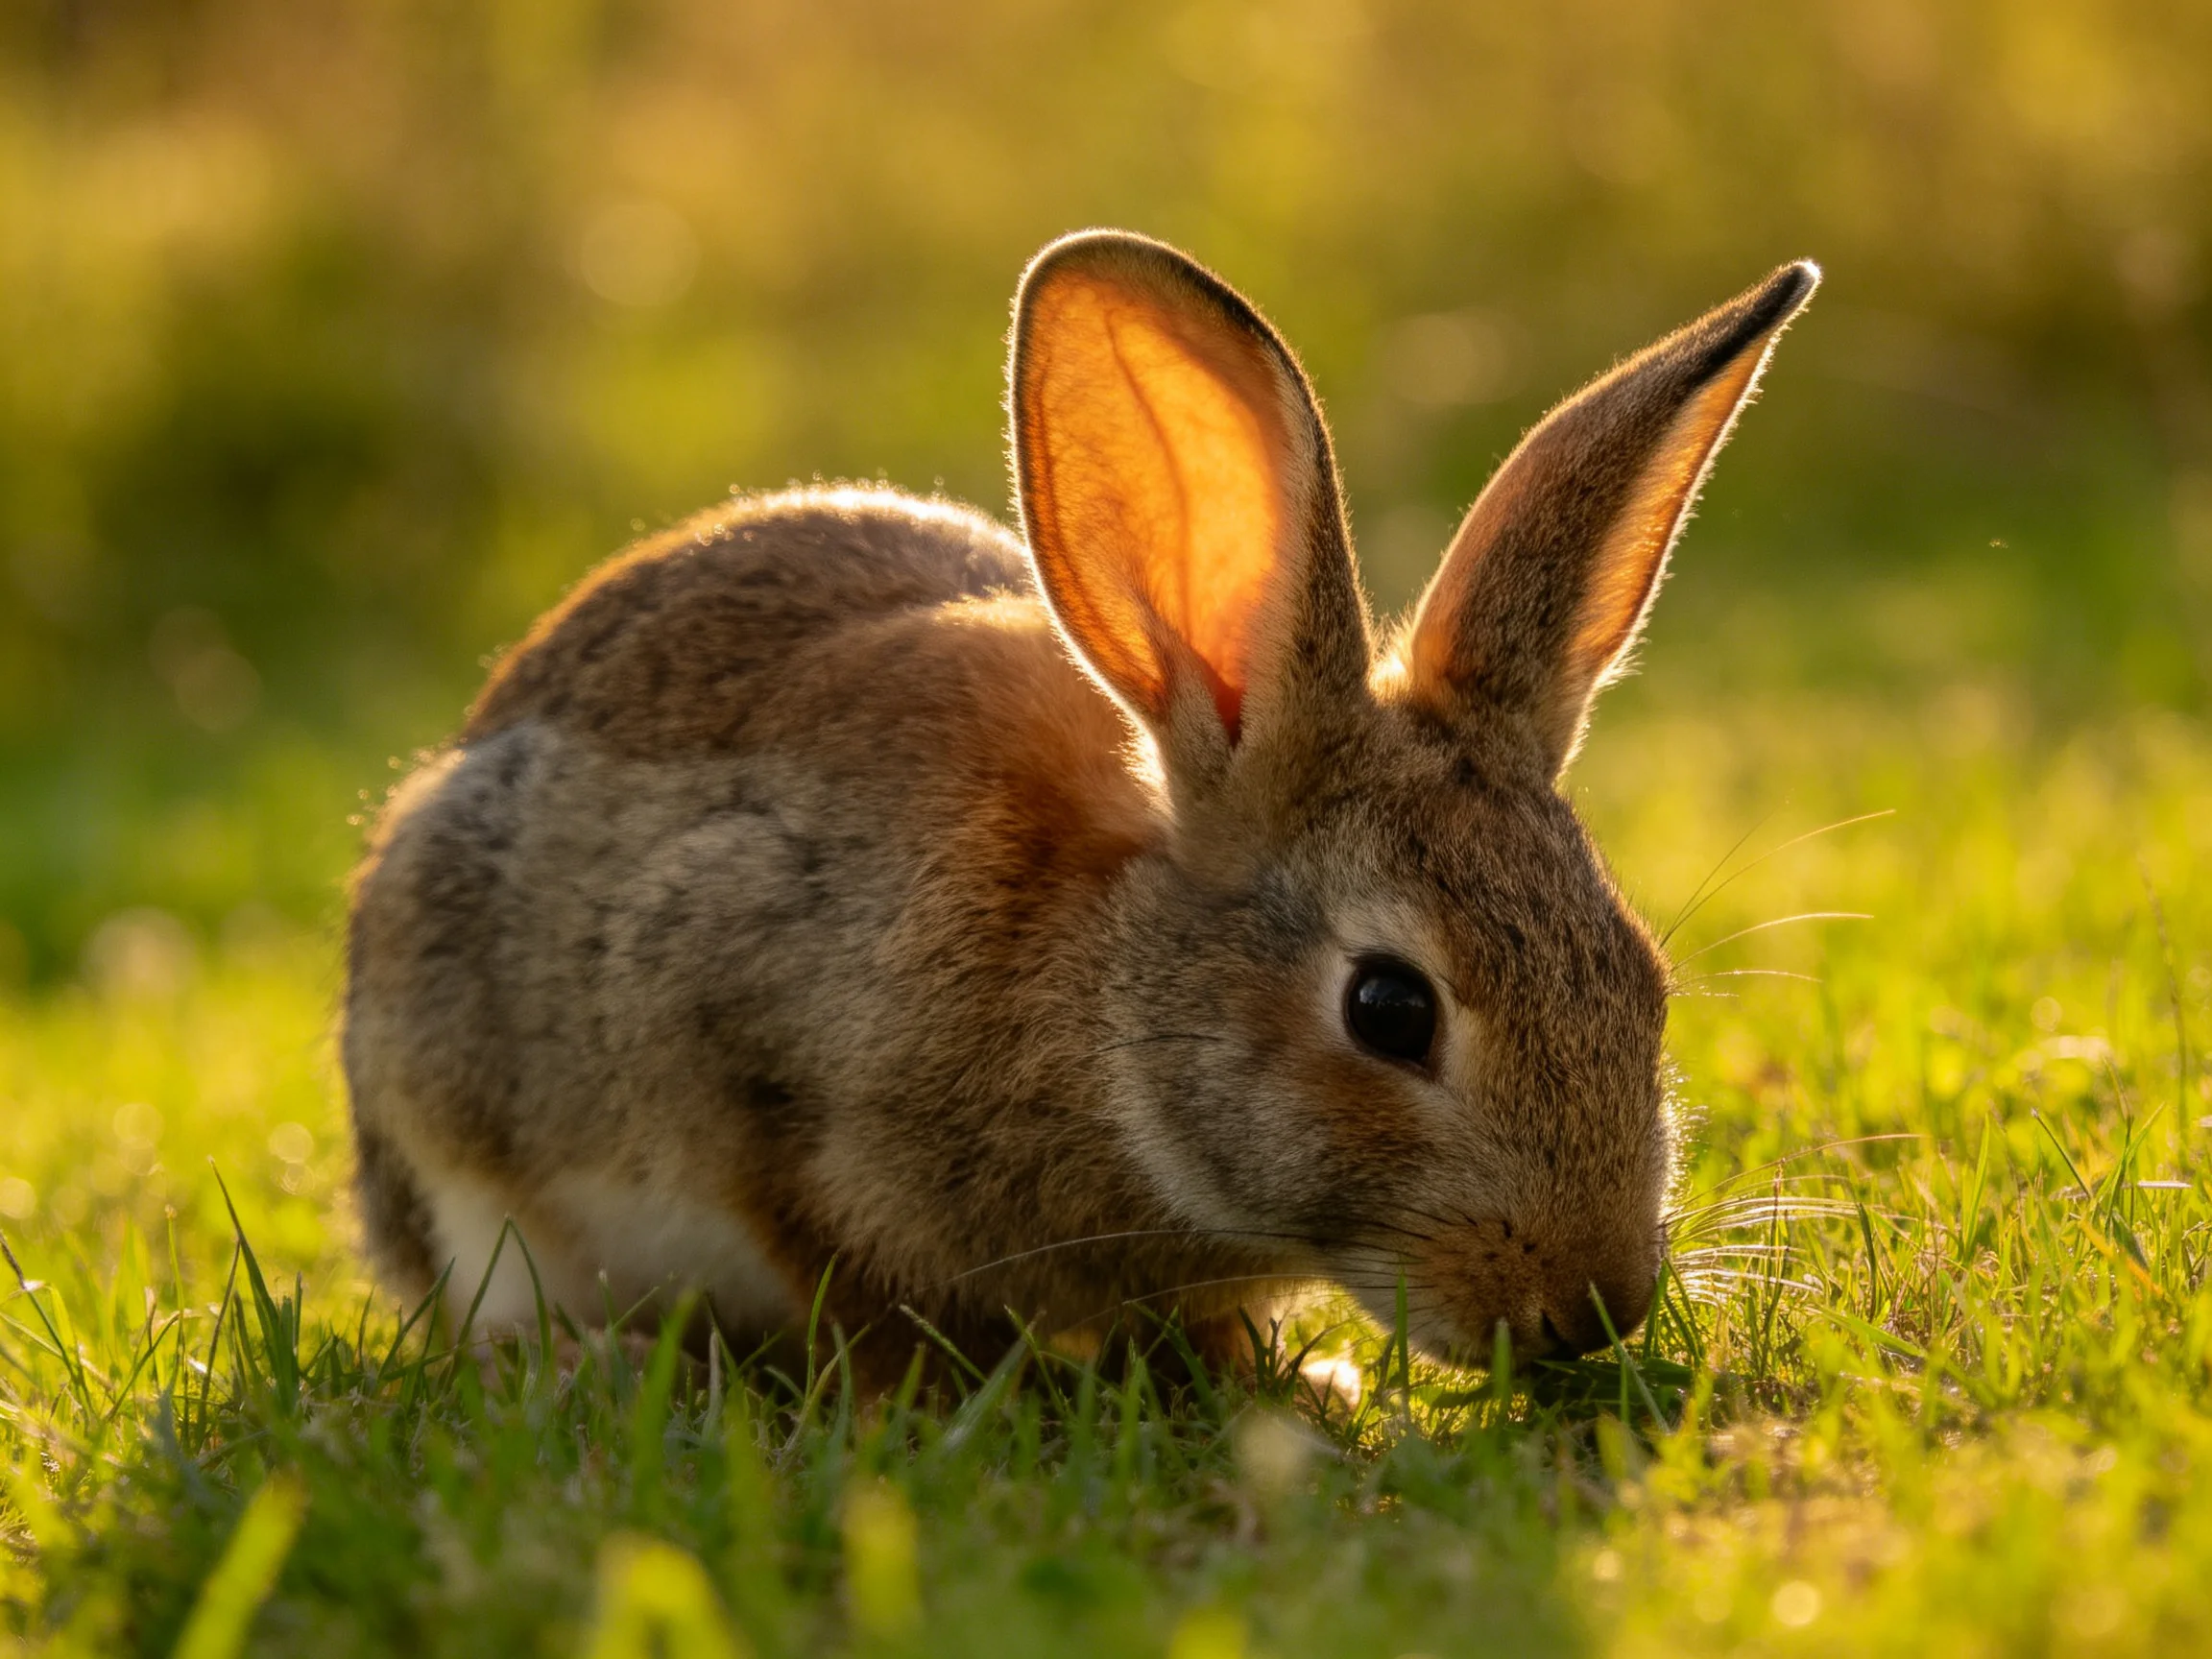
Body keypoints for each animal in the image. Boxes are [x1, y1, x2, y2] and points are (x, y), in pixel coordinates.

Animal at [343, 228, 1816, 1384]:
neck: (1101, 1005)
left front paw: (1282, 1378)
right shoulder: (728, 1030)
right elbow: (842, 1286)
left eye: (1642, 981)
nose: (1591, 1308)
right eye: (1390, 1011)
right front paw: (919, 1398)